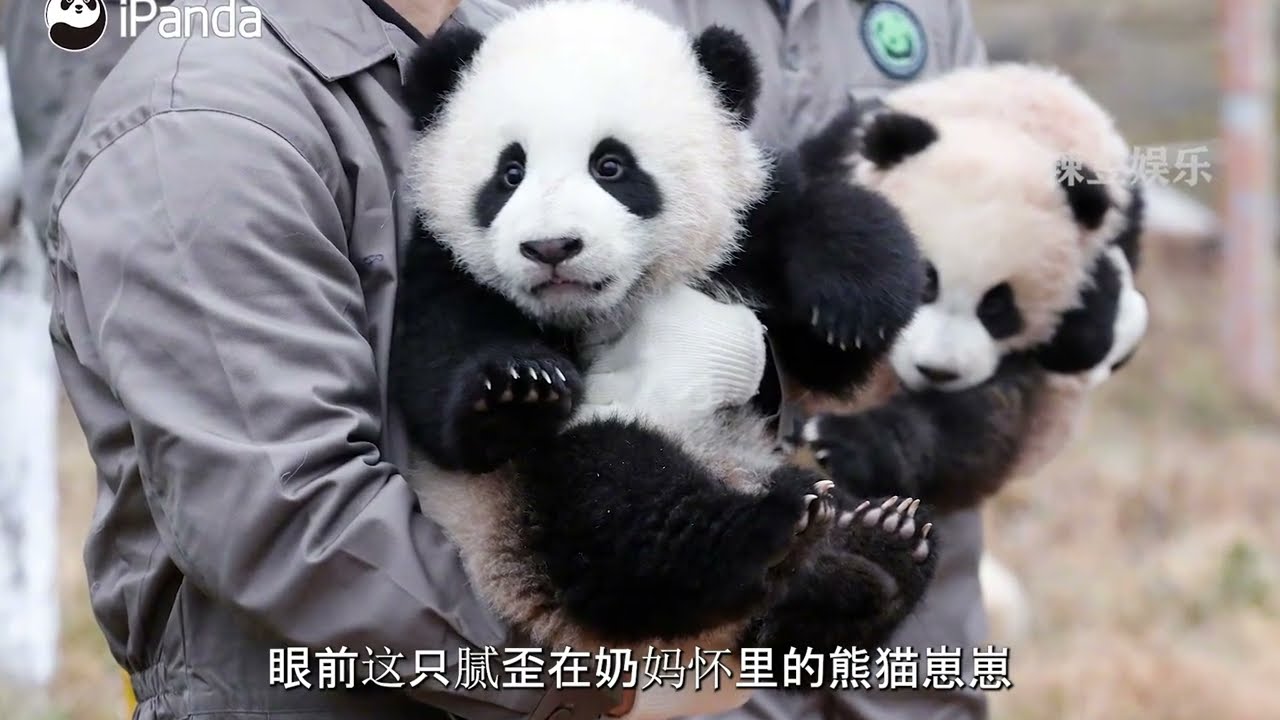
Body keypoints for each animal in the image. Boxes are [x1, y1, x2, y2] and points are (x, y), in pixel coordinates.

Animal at [390, 0, 935, 670]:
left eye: (611, 165)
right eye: (510, 172)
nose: (551, 247)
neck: (609, 303)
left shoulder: (744, 223)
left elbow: (825, 247)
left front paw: (851, 309)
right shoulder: (448, 264)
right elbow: (441, 365)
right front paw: (519, 386)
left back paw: (878, 554)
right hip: (514, 508)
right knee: (619, 510)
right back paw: (775, 532)